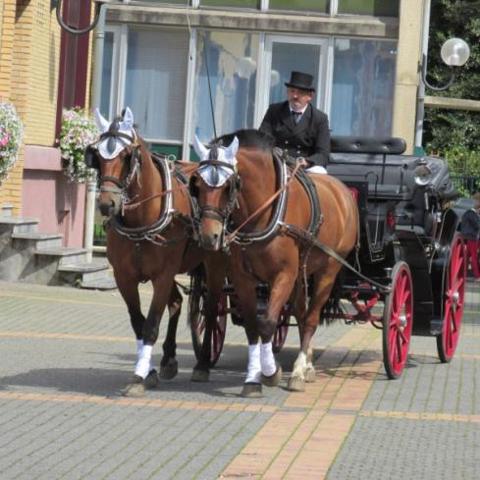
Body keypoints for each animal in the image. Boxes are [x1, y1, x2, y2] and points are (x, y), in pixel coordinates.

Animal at [88, 110, 225, 396]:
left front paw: (139, 377)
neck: (141, 220)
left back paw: (203, 364)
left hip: (214, 266)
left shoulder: (162, 275)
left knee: (211, 310)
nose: (107, 204)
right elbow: (139, 324)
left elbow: (151, 325)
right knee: (176, 303)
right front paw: (147, 370)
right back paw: (169, 358)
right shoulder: (124, 277)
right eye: (97, 156)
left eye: (126, 156)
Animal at [189, 129, 358, 396]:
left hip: (327, 272)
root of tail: (342, 191)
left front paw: (270, 372)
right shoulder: (242, 278)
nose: (210, 236)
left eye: (228, 186)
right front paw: (252, 379)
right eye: (196, 184)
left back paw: (299, 371)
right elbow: (252, 325)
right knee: (301, 313)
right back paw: (307, 364)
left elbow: (267, 323)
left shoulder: (283, 275)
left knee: (311, 318)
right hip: (300, 274)